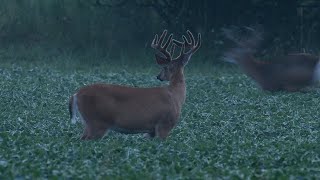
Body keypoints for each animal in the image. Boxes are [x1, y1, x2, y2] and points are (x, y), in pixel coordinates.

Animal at [69, 29, 201, 140]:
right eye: (164, 67)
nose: (159, 76)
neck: (175, 95)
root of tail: (76, 94)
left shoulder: (151, 131)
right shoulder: (164, 124)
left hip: (89, 123)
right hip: (97, 122)